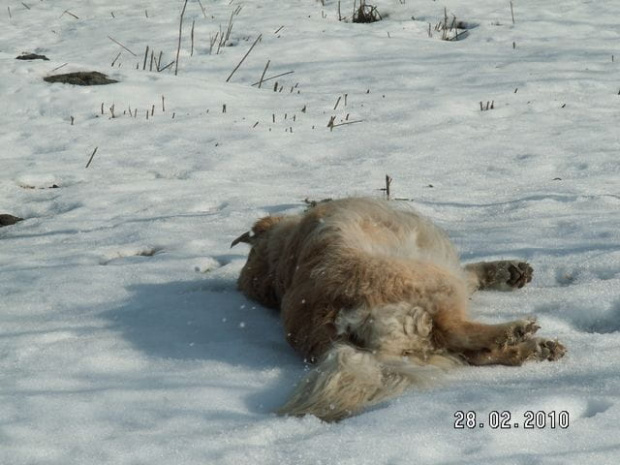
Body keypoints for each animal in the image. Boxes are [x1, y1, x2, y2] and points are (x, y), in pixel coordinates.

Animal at [232, 196, 568, 420]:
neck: (279, 263)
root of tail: (335, 331)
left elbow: (472, 272)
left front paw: (508, 271)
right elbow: (468, 276)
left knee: (474, 352)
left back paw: (536, 348)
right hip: (432, 280)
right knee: (457, 332)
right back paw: (516, 332)